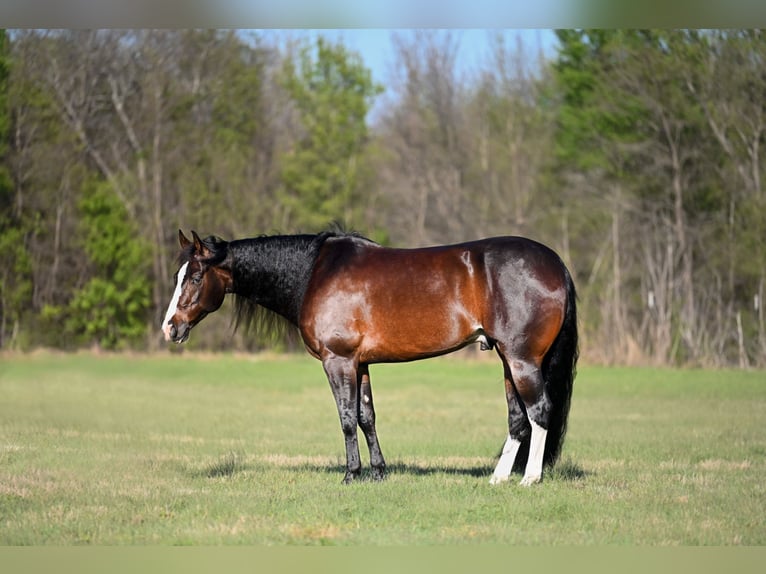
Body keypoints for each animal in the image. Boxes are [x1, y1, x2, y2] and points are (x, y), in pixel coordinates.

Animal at [162, 229, 578, 485]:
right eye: (178, 276)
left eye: (194, 278)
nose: (170, 328)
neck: (315, 272)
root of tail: (555, 264)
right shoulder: (360, 364)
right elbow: (367, 417)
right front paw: (378, 472)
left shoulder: (339, 360)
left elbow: (347, 419)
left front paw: (351, 474)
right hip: (508, 362)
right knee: (517, 419)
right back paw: (498, 477)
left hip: (522, 359)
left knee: (539, 411)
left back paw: (530, 478)